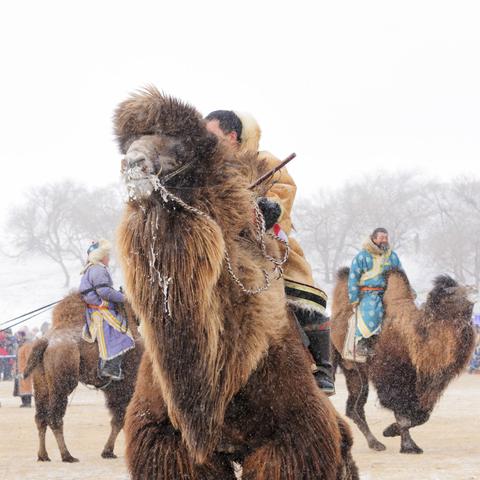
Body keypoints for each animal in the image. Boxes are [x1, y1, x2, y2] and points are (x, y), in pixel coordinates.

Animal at [23, 292, 142, 462]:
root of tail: (45, 342)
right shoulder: (125, 385)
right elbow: (121, 418)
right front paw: (109, 451)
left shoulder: (113, 388)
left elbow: (119, 419)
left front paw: (108, 452)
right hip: (62, 381)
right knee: (55, 418)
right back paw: (67, 455)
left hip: (41, 382)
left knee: (40, 418)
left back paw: (43, 455)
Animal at [114, 86, 358, 480]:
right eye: (130, 143)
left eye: (182, 146)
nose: (133, 164)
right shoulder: (168, 440)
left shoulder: (293, 436)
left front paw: (269, 208)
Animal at [330, 270, 476, 454]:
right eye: (453, 294)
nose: (472, 289)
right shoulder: (392, 380)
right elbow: (403, 415)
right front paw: (407, 445)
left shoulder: (418, 385)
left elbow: (421, 416)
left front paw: (391, 431)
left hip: (354, 371)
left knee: (354, 407)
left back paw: (375, 443)